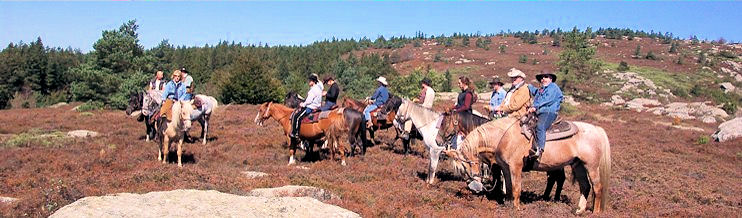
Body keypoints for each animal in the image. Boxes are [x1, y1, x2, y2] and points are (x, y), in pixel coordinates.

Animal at [444, 117, 612, 215]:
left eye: (463, 166)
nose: (473, 187)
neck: (504, 136)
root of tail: (596, 129)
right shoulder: (505, 168)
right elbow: (509, 187)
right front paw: (508, 204)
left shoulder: (516, 167)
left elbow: (516, 188)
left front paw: (517, 208)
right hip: (578, 165)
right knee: (585, 186)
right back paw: (579, 210)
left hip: (591, 166)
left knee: (597, 187)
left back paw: (595, 213)